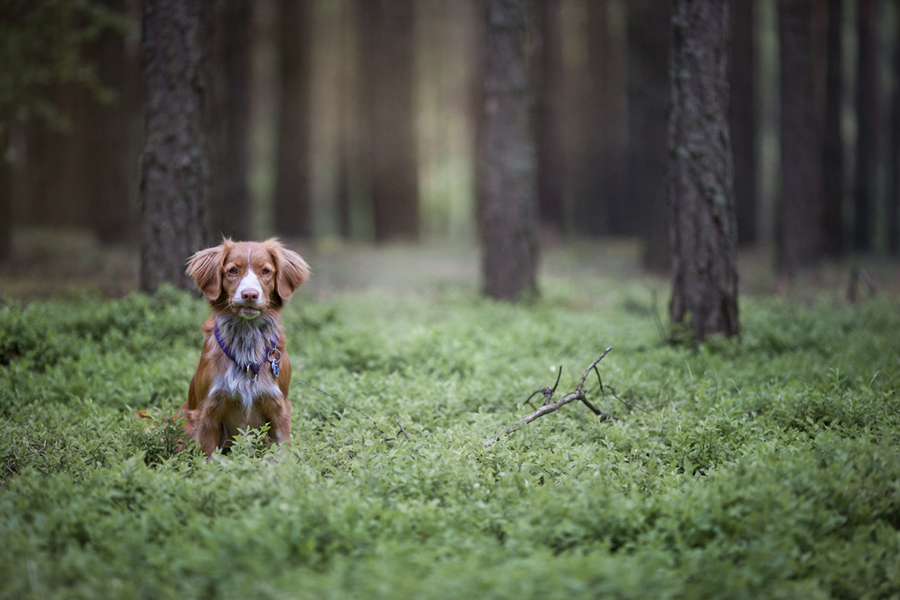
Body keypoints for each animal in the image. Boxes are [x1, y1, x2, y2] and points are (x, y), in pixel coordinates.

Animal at [178, 237, 312, 458]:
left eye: (266, 271)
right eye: (232, 270)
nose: (250, 295)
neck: (247, 340)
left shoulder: (278, 406)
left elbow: (283, 450)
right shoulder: (208, 411)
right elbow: (208, 455)